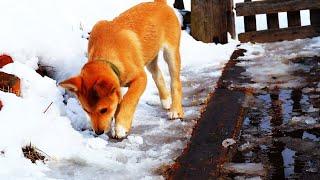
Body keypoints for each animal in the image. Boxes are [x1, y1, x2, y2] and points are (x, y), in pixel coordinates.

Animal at [60, 0, 184, 139]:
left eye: (103, 110)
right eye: (86, 110)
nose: (98, 132)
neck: (109, 52)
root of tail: (159, 3)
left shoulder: (140, 78)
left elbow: (128, 99)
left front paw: (121, 126)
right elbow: (119, 102)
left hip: (171, 52)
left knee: (175, 82)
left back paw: (176, 110)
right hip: (149, 57)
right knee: (157, 75)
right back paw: (166, 100)